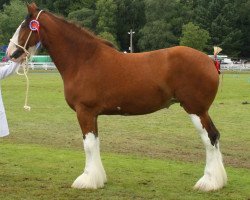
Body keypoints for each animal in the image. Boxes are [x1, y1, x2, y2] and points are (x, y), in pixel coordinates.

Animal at [7, 2, 227, 191]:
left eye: (25, 26)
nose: (10, 52)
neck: (84, 59)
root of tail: (210, 61)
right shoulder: (92, 114)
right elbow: (95, 143)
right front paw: (98, 178)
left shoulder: (84, 111)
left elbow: (88, 145)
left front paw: (86, 181)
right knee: (215, 136)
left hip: (196, 109)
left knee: (209, 138)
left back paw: (208, 182)